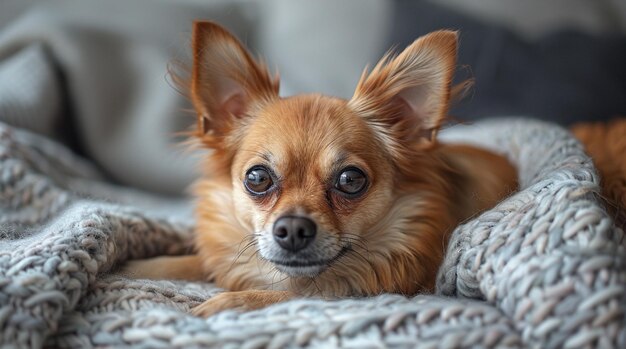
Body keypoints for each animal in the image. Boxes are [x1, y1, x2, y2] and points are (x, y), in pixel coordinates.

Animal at [123, 21, 516, 316]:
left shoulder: (375, 286)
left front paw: (226, 302)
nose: (294, 229)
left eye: (350, 180)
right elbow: (201, 261)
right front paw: (136, 266)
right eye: (257, 178)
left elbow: (299, 294)